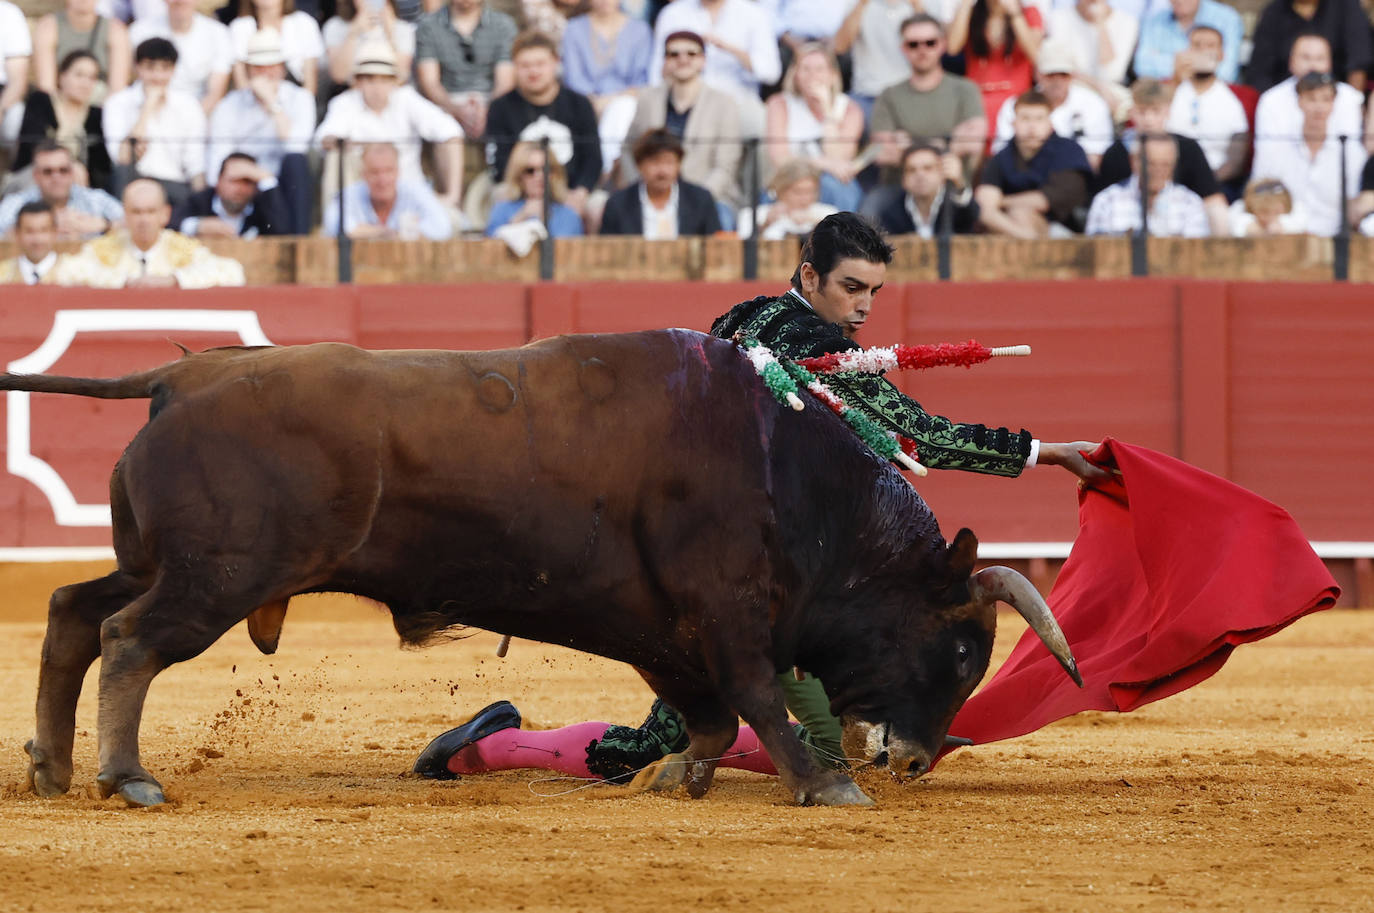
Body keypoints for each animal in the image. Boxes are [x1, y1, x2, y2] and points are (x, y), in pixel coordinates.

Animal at [2, 328, 1082, 808]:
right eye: (960, 652)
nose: (917, 758)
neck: (790, 469)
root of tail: (182, 373)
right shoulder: (725, 609)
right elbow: (762, 698)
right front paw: (825, 783)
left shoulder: (661, 627)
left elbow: (712, 713)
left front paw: (680, 775)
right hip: (216, 575)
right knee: (127, 639)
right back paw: (127, 775)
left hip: (161, 561)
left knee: (71, 611)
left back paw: (53, 766)